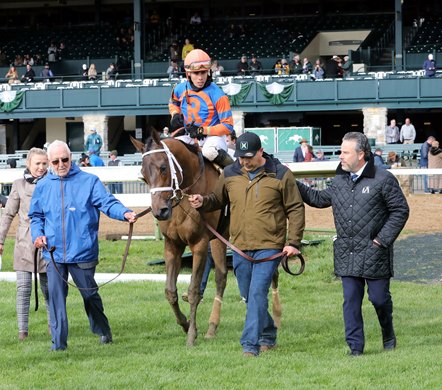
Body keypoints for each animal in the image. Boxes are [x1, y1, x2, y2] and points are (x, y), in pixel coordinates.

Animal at [130, 133, 228, 346]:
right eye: (143, 174)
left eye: (163, 167)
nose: (159, 211)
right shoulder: (172, 245)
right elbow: (170, 291)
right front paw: (185, 323)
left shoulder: (199, 243)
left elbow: (193, 291)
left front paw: (191, 335)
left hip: (223, 237)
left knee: (222, 277)